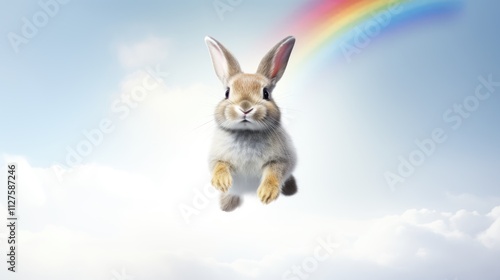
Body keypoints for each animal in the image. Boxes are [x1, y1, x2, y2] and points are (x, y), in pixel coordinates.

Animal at [205, 35, 298, 211]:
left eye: (266, 93)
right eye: (227, 92)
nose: (245, 107)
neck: (246, 132)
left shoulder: (281, 159)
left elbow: (274, 173)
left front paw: (266, 194)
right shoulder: (218, 158)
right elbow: (219, 166)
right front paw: (222, 183)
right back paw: (226, 204)